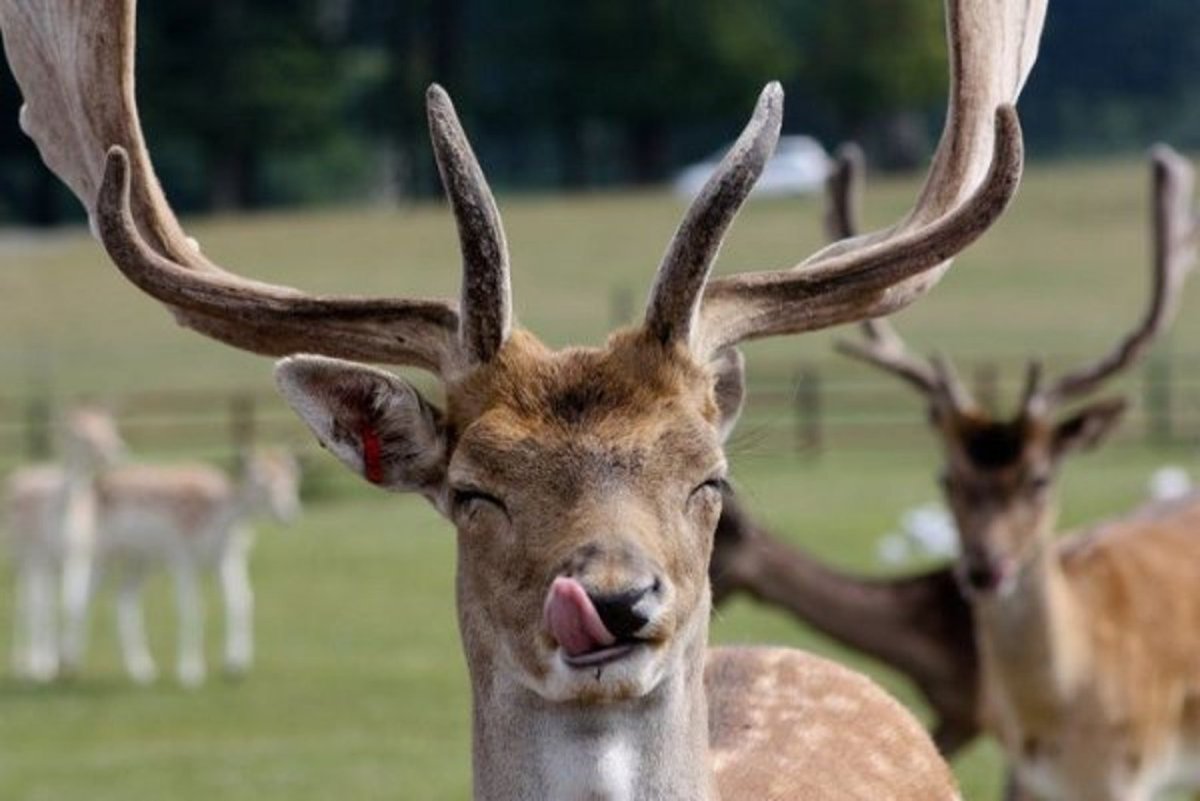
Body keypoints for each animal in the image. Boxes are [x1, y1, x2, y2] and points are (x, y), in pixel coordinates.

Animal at [5, 405, 125, 681]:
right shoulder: (42, 560)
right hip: (21, 558)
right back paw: (23, 662)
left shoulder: (77, 559)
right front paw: (42, 667)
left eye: (109, 427)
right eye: (84, 436)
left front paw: (67, 663)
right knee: (27, 602)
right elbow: (43, 607)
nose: (115, 451)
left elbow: (72, 603)